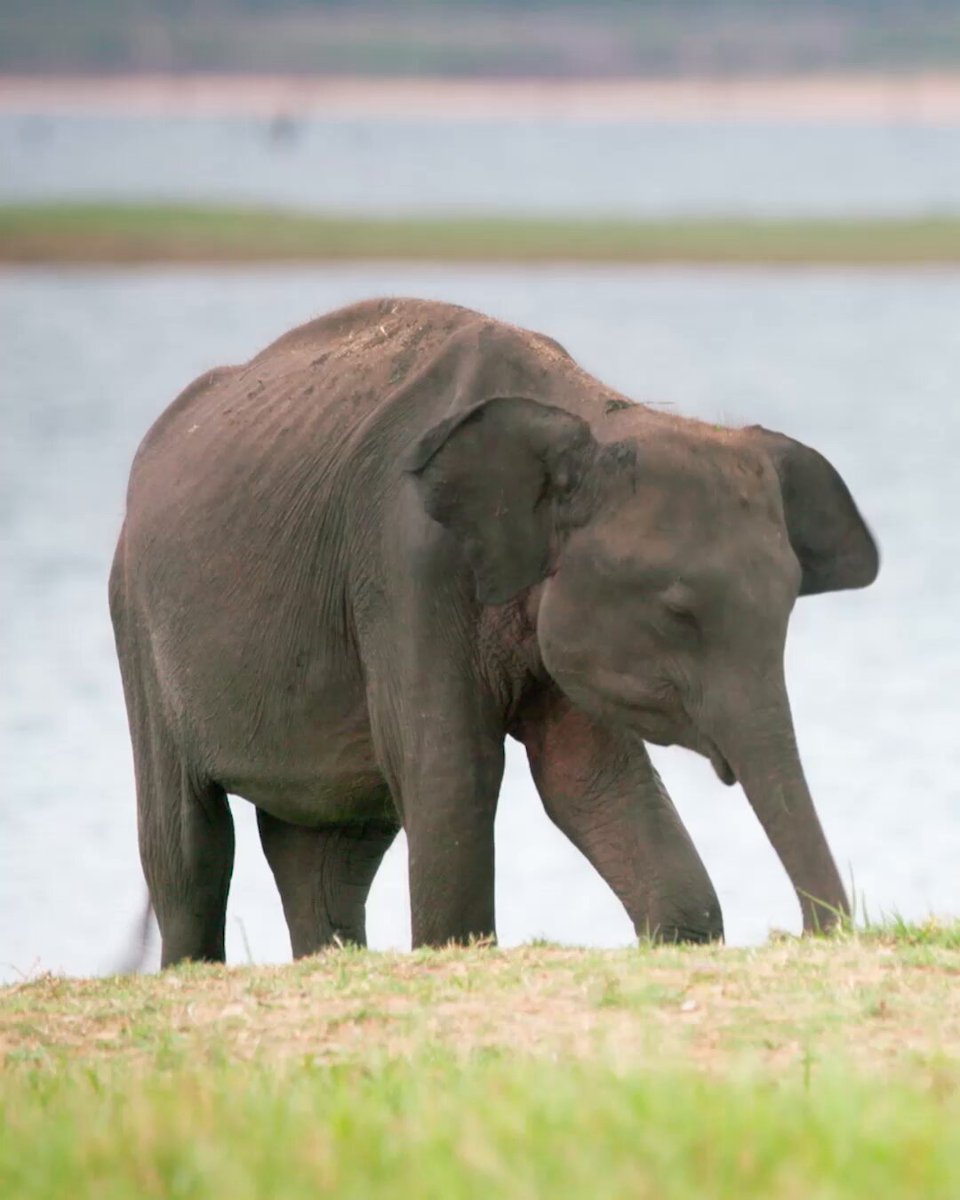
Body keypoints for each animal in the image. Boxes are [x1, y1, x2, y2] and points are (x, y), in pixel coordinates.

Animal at [109, 297, 878, 968]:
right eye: (676, 612)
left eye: (786, 614)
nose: (813, 931)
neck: (587, 414)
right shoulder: (405, 561)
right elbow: (450, 773)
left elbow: (589, 779)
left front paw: (680, 930)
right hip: (135, 618)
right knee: (191, 848)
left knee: (332, 846)